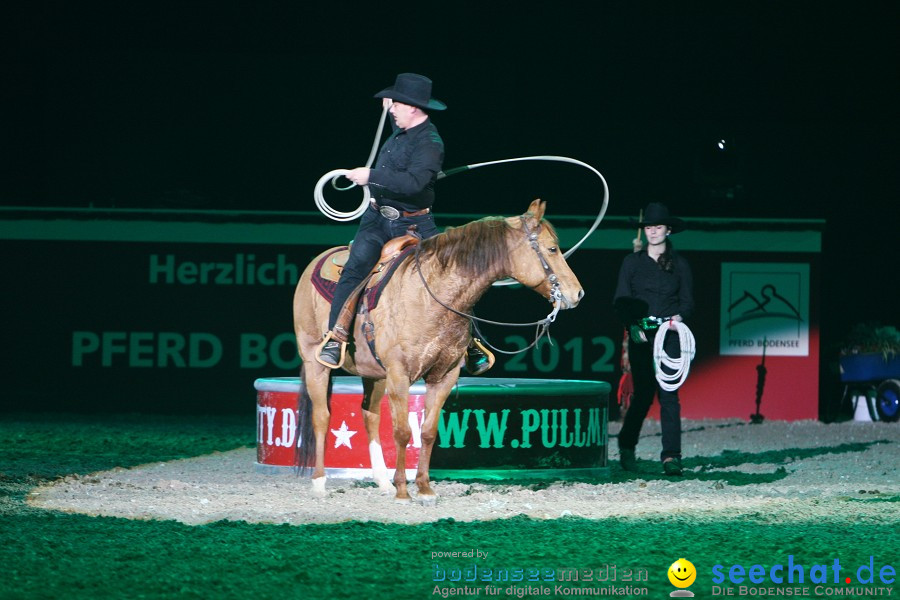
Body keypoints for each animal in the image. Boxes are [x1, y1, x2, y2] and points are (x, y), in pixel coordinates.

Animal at [290, 199, 584, 504]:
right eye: (552, 249)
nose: (577, 294)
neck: (430, 296)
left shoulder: (444, 376)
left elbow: (428, 431)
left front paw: (424, 488)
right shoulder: (399, 375)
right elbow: (402, 432)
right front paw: (403, 491)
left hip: (374, 374)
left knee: (370, 415)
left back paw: (382, 481)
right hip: (316, 364)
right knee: (321, 416)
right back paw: (320, 482)